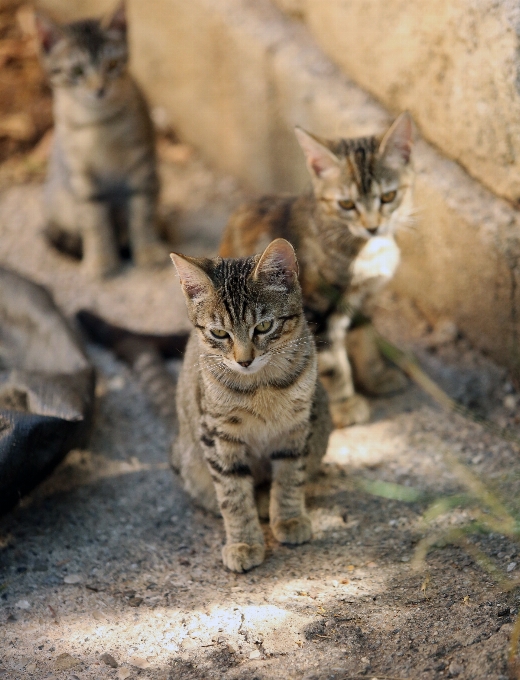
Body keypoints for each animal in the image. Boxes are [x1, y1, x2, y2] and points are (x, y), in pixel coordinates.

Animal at [34, 1, 168, 278]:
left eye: (113, 64)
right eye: (77, 71)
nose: (99, 89)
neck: (99, 122)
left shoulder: (142, 164)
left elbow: (142, 212)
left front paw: (148, 250)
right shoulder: (81, 174)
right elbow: (94, 220)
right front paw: (100, 259)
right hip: (61, 198)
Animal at [221, 114, 416, 428]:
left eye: (388, 196)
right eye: (346, 204)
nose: (373, 227)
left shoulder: (363, 299)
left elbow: (364, 336)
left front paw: (375, 377)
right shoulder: (316, 311)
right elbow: (333, 363)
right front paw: (346, 404)